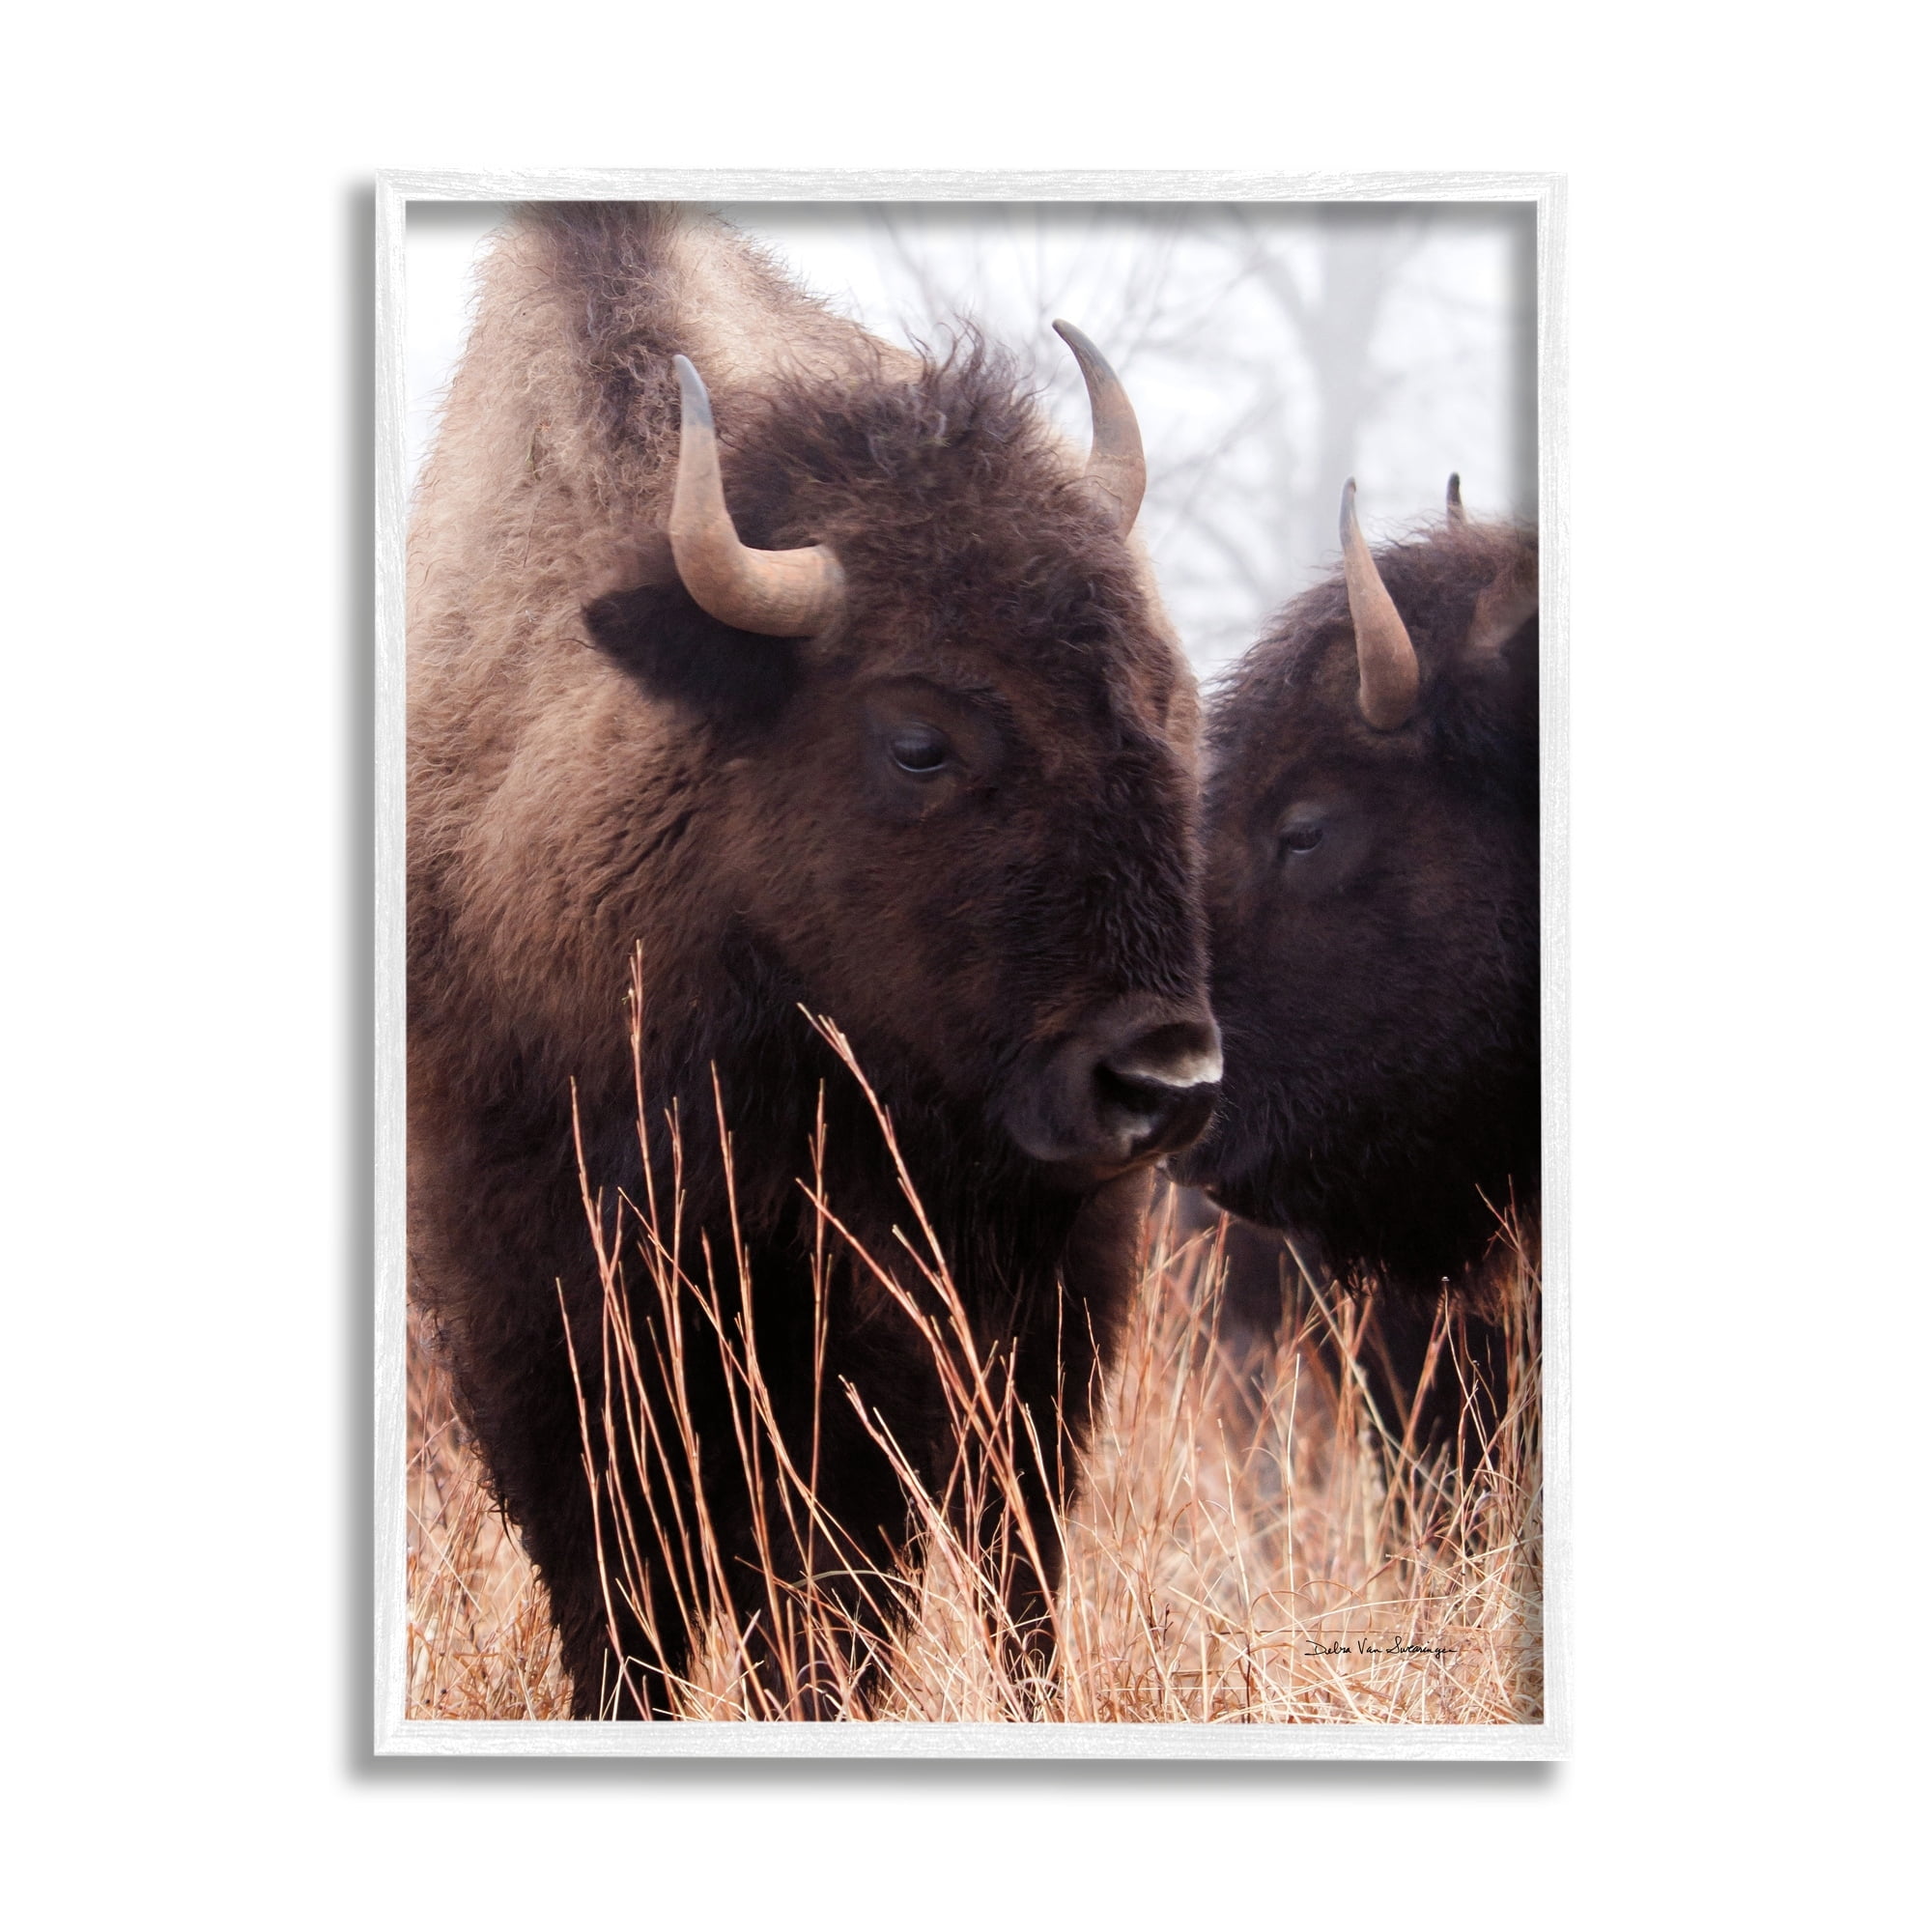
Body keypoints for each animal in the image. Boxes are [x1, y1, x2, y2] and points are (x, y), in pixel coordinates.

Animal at [406, 203, 1220, 1718]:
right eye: (917, 739)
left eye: (1165, 703)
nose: (1164, 1078)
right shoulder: (532, 1313)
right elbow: (620, 1602)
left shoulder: (871, 1342)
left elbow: (837, 1602)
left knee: (1016, 1565)